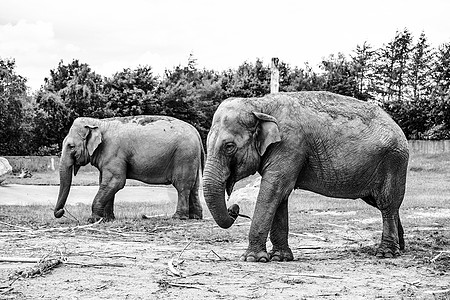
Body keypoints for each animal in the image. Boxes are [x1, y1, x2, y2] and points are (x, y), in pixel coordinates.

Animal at [53, 116, 206, 221]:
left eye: (71, 146)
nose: (61, 212)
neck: (99, 123)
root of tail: (196, 133)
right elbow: (106, 183)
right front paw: (108, 219)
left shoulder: (113, 152)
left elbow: (116, 181)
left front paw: (93, 219)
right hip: (191, 158)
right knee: (194, 186)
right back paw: (195, 217)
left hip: (184, 155)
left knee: (182, 186)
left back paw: (178, 217)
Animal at [204, 91, 412, 262]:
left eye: (229, 146)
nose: (234, 208)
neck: (259, 104)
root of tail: (396, 125)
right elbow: (280, 196)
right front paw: (280, 257)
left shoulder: (290, 145)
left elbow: (274, 190)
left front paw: (252, 258)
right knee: (382, 204)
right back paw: (400, 247)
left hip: (394, 161)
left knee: (387, 203)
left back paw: (386, 253)